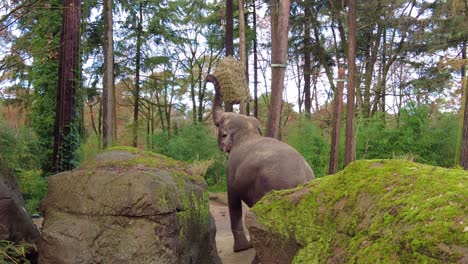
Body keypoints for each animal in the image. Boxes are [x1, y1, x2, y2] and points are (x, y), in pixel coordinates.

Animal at [207, 73, 314, 254]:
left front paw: (240, 249)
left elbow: (233, 202)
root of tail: (301, 181)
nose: (208, 77)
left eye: (220, 124)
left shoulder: (231, 173)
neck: (247, 131)